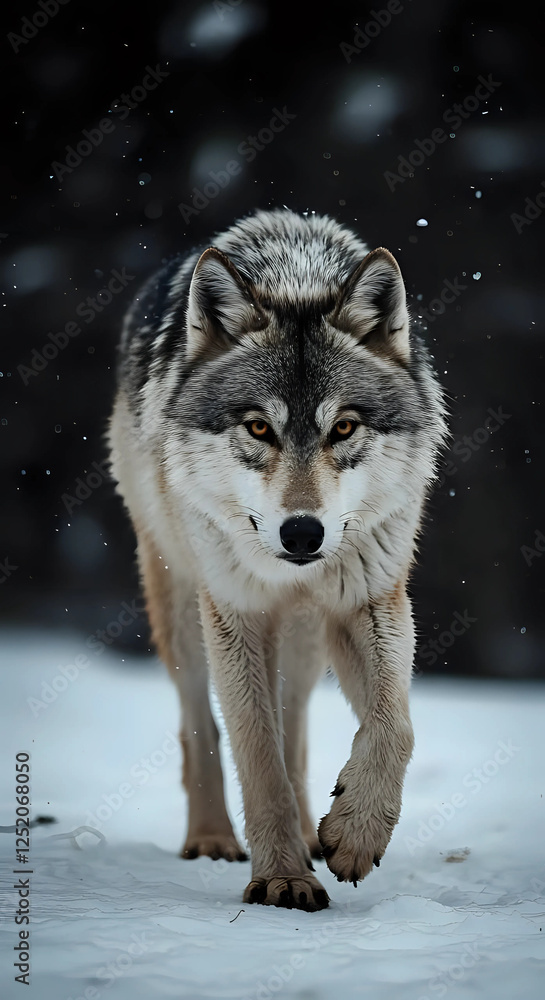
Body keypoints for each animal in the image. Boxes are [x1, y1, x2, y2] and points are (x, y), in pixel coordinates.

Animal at [109, 208, 447, 912]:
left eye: (343, 427)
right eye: (259, 428)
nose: (302, 534)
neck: (296, 273)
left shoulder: (368, 599)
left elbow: (395, 726)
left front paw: (353, 835)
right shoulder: (235, 611)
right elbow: (255, 751)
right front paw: (283, 880)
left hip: (306, 639)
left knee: (295, 722)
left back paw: (315, 830)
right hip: (184, 607)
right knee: (200, 721)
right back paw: (212, 837)